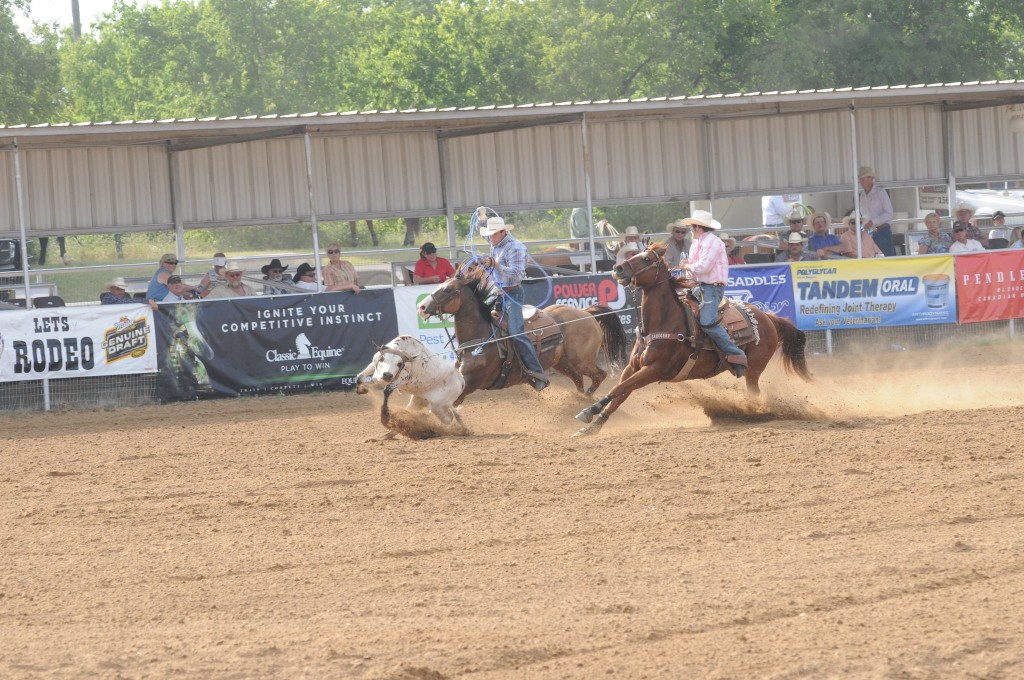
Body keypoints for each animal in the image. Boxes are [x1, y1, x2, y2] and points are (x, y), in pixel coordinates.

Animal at [413, 264, 622, 403]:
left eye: (448, 289)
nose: (421, 307)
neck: (481, 339)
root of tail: (585, 313)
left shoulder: (470, 383)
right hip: (562, 363)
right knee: (579, 380)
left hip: (581, 360)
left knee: (599, 376)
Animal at [573, 244, 811, 436]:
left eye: (647, 259)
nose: (618, 268)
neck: (664, 322)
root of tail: (768, 317)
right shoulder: (633, 367)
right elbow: (620, 393)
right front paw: (592, 427)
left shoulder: (654, 370)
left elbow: (618, 389)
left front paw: (587, 411)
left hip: (754, 369)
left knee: (754, 392)